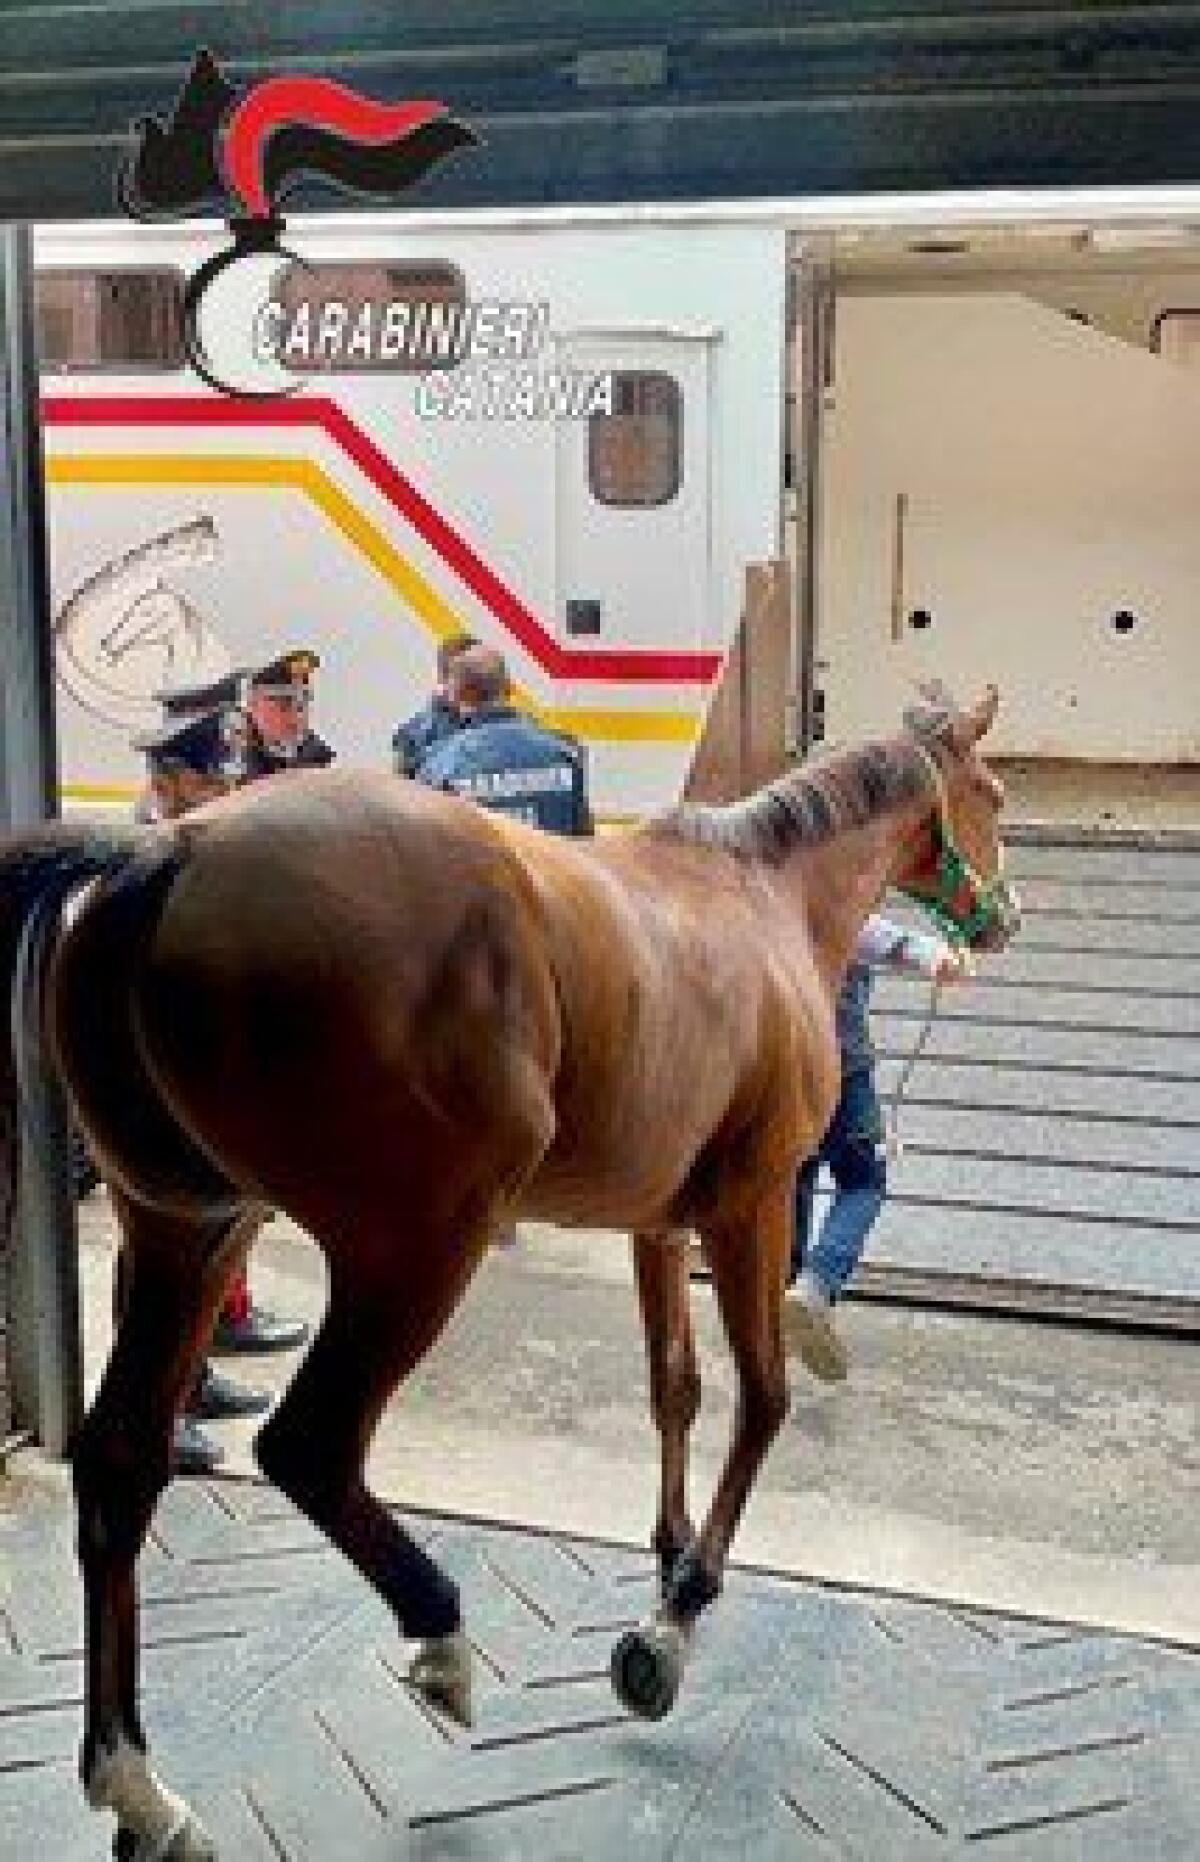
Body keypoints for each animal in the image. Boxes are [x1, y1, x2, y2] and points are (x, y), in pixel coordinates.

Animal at [0, 680, 1017, 1861]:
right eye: (994, 793)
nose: (1002, 918)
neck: (759, 898)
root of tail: (174, 848)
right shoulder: (750, 1209)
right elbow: (762, 1398)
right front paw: (675, 1614)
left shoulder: (659, 1228)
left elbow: (675, 1389)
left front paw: (665, 1558)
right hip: (413, 1248)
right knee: (310, 1444)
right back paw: (437, 1632)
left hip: (189, 1232)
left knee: (122, 1463)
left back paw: (140, 1787)